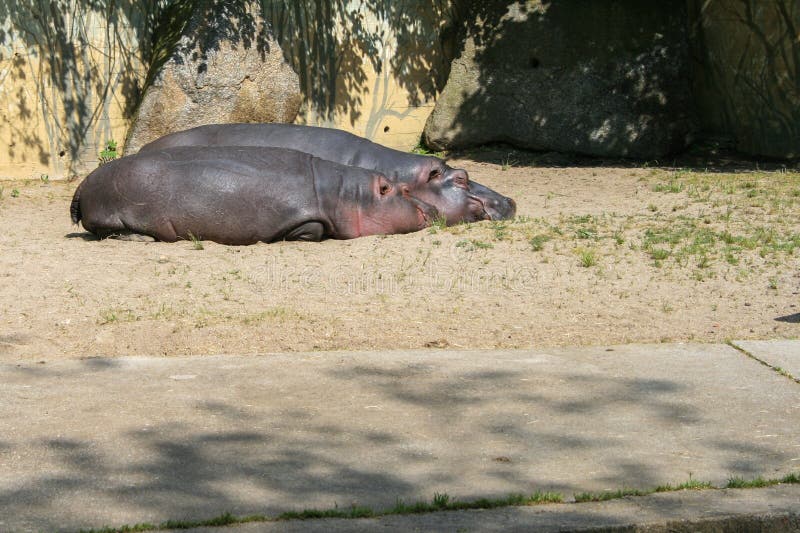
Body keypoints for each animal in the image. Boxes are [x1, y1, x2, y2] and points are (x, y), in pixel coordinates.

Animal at [70, 145, 438, 245]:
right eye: (405, 190)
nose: (433, 210)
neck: (348, 192)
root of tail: (82, 184)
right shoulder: (304, 219)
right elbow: (312, 230)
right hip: (115, 215)